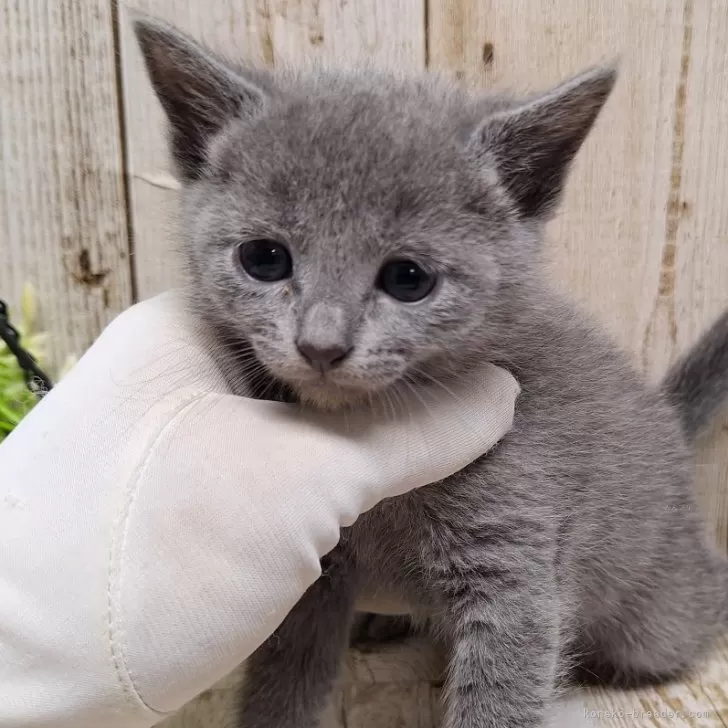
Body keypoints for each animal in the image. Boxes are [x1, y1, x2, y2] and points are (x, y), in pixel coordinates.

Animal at [134, 19, 728, 728]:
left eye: (408, 278)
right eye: (264, 259)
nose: (321, 345)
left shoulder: (513, 558)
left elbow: (503, 689)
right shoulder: (312, 573)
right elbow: (286, 673)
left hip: (658, 616)